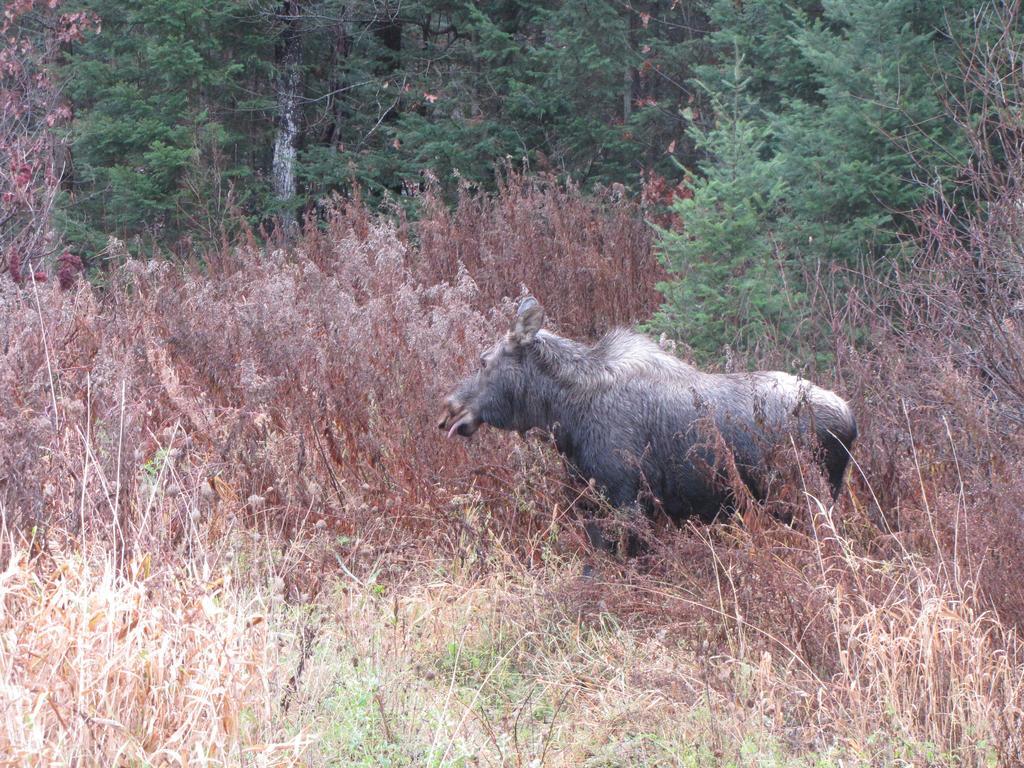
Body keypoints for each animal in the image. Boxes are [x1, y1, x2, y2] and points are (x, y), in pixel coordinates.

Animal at [434, 296, 856, 548]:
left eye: (484, 361)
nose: (447, 411)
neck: (565, 415)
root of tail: (851, 421)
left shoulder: (626, 496)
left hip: (803, 499)